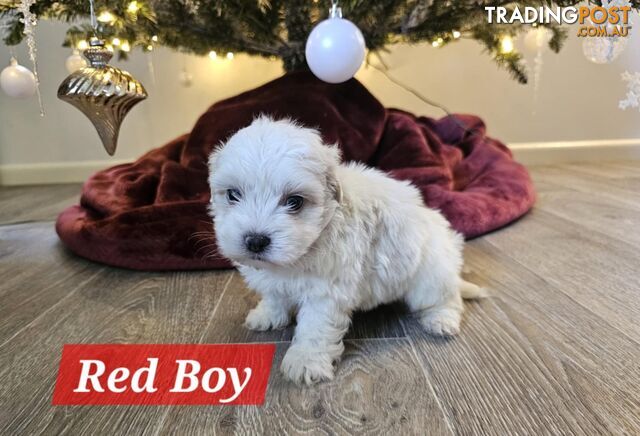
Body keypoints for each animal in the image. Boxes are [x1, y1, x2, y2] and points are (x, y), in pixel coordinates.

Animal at [210, 116, 484, 384]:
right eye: (233, 195)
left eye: (294, 202)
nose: (255, 241)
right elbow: (275, 295)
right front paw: (267, 315)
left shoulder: (326, 290)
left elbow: (315, 327)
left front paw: (306, 360)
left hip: (430, 275)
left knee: (447, 299)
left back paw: (441, 320)